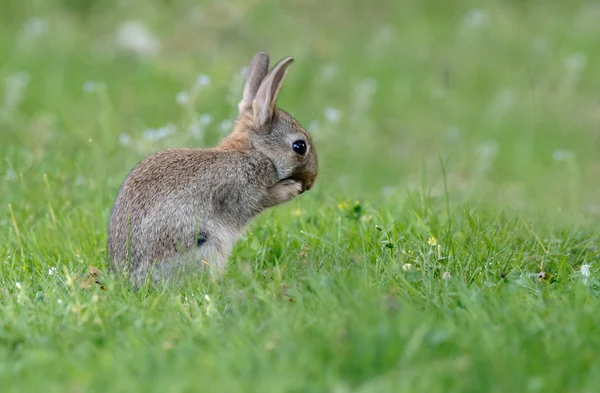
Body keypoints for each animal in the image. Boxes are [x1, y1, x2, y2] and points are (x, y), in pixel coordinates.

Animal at [106, 52, 318, 284]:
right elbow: (261, 200)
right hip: (204, 243)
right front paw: (291, 189)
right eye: (300, 147)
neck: (256, 151)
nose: (310, 183)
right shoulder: (243, 190)